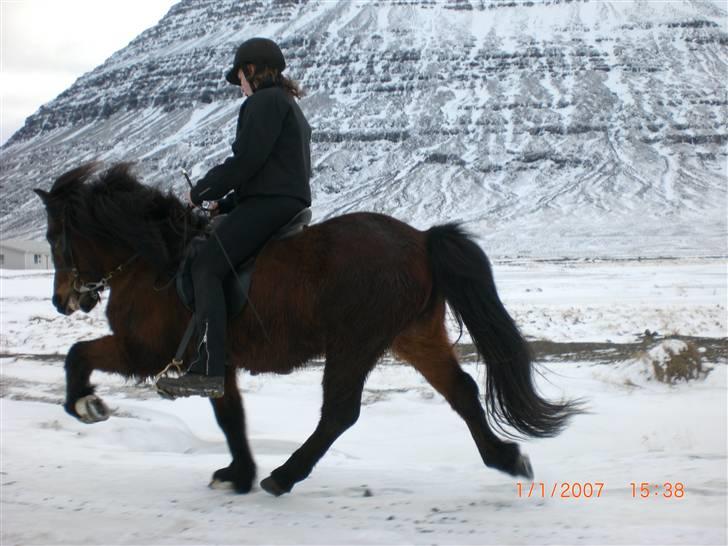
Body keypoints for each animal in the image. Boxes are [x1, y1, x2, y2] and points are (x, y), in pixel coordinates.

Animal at [32, 160, 580, 492]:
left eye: (55, 237)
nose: (63, 301)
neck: (154, 259)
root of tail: (422, 239)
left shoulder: (141, 349)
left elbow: (78, 355)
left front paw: (86, 405)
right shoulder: (216, 362)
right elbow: (230, 416)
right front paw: (237, 473)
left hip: (355, 342)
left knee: (340, 412)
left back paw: (284, 475)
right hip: (414, 335)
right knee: (461, 391)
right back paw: (506, 458)